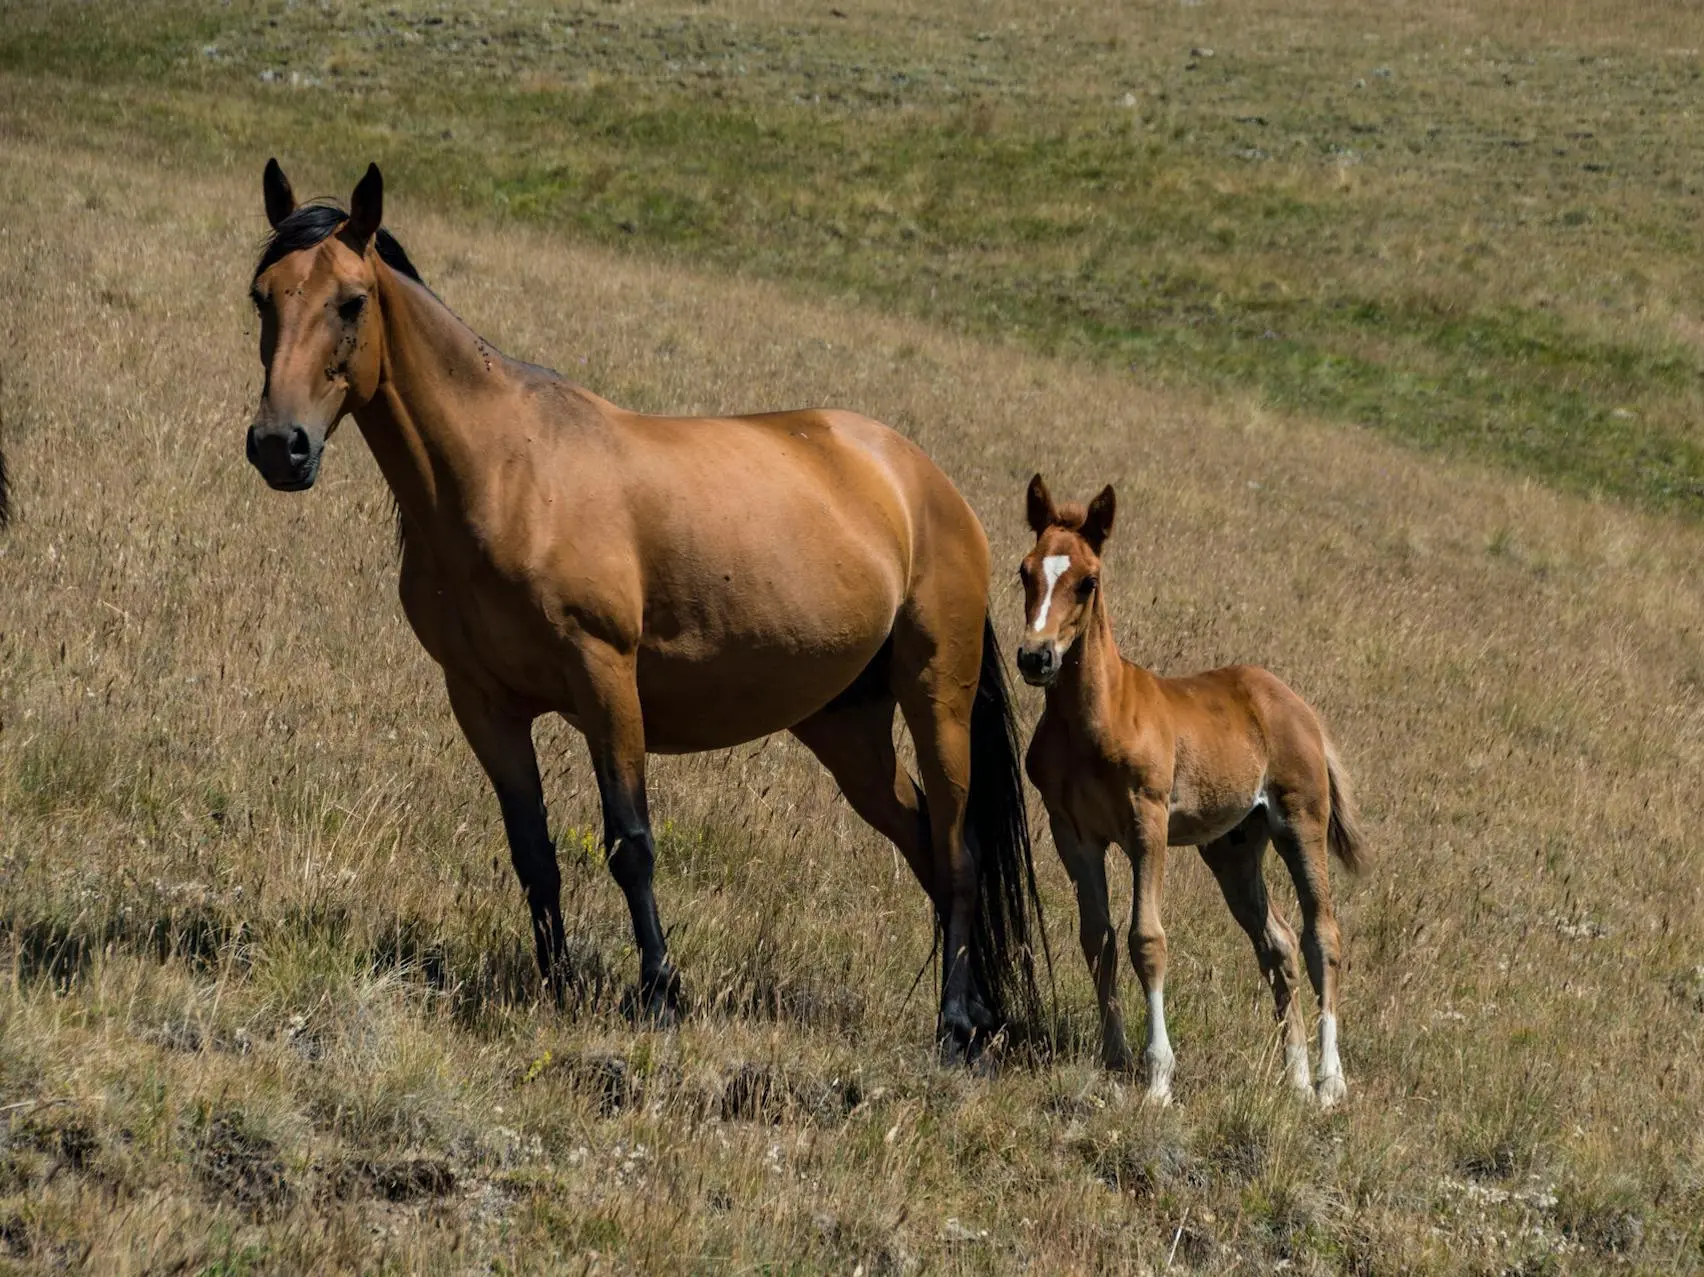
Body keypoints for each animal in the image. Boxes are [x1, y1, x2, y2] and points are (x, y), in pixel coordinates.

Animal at [1008, 473, 1370, 1097]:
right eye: (1026, 570)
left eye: (1088, 581)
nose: (1036, 657)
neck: (1096, 718)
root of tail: (1299, 707)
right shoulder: (1072, 833)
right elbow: (1098, 938)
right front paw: (1116, 1058)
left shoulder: (1146, 823)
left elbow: (1146, 940)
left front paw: (1158, 1079)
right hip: (1232, 848)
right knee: (1276, 942)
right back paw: (1297, 1081)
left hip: (1301, 823)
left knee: (1322, 937)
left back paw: (1330, 1084)